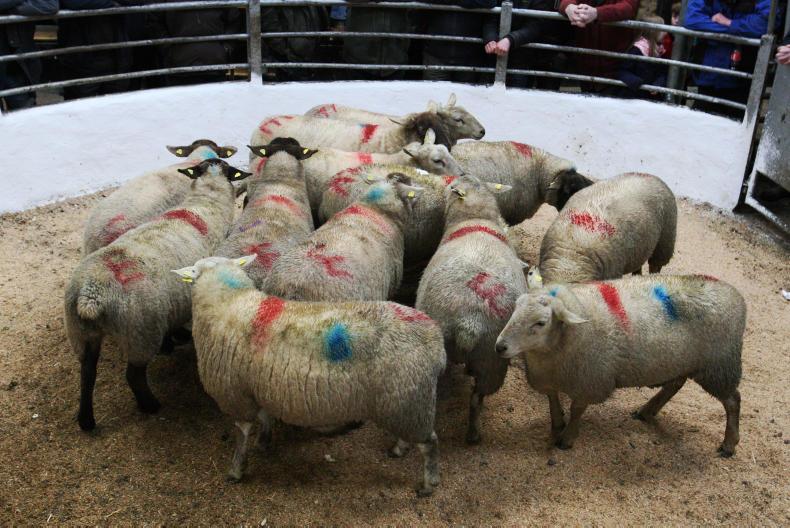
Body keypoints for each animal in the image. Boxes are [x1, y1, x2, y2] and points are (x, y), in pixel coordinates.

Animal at [65, 159, 251, 431]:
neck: (206, 203)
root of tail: (91, 294)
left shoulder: (172, 301)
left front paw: (173, 339)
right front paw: (174, 341)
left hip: (81, 333)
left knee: (87, 374)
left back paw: (86, 421)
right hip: (140, 331)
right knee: (133, 375)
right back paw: (150, 405)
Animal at [171, 255, 446, 496]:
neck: (232, 300)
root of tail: (436, 340)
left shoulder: (235, 394)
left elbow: (242, 433)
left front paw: (237, 469)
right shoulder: (258, 385)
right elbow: (265, 415)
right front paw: (264, 442)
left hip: (407, 399)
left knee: (430, 444)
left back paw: (428, 483)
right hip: (405, 402)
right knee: (416, 438)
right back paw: (399, 449)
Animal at [494, 274, 745, 456]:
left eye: (540, 323)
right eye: (515, 308)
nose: (500, 347)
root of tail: (736, 296)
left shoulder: (589, 382)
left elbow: (577, 410)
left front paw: (567, 438)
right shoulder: (549, 379)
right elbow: (552, 401)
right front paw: (557, 425)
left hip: (718, 367)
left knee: (733, 401)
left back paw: (729, 444)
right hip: (681, 361)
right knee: (675, 383)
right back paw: (647, 410)